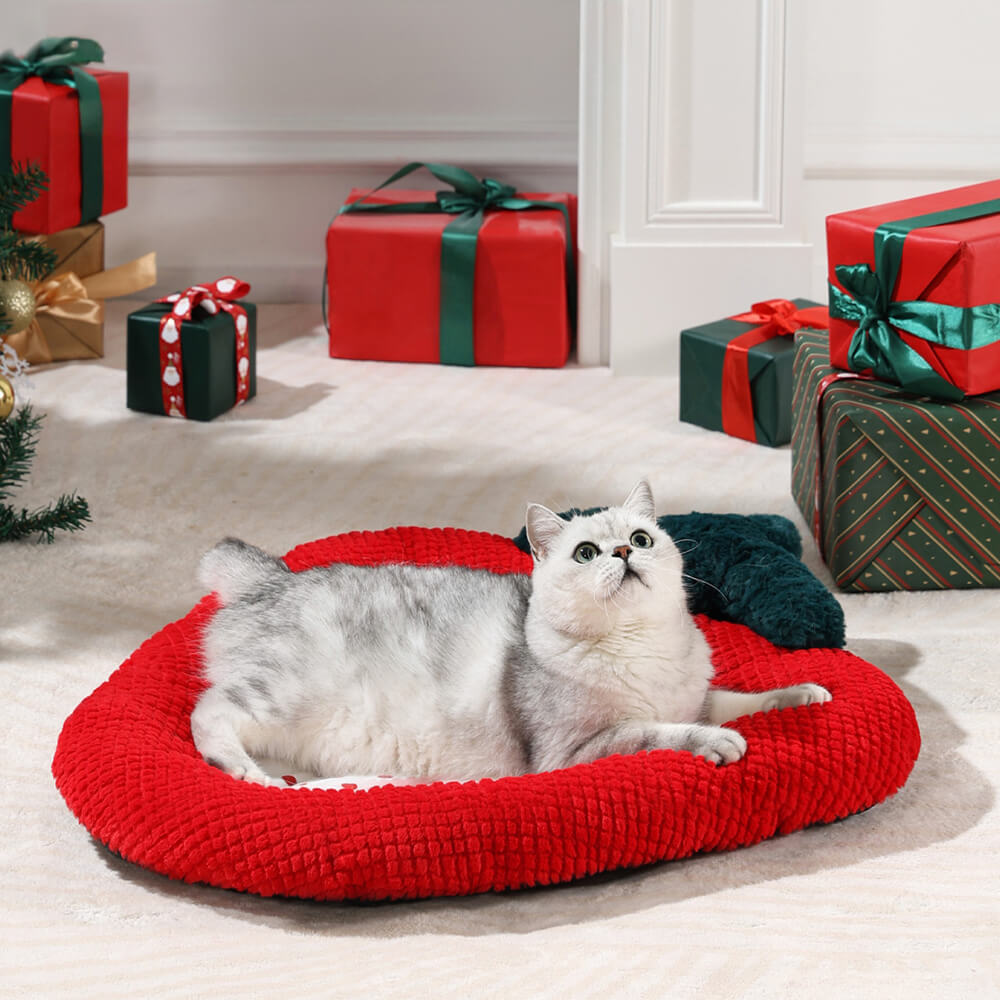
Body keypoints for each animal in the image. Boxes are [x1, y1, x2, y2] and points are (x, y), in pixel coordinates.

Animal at [191, 478, 832, 788]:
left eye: (642, 538)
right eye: (586, 552)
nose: (624, 553)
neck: (641, 648)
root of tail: (270, 574)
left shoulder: (695, 696)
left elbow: (742, 699)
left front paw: (804, 694)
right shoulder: (575, 751)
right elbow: (661, 732)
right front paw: (717, 742)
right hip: (281, 696)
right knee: (208, 713)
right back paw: (246, 770)